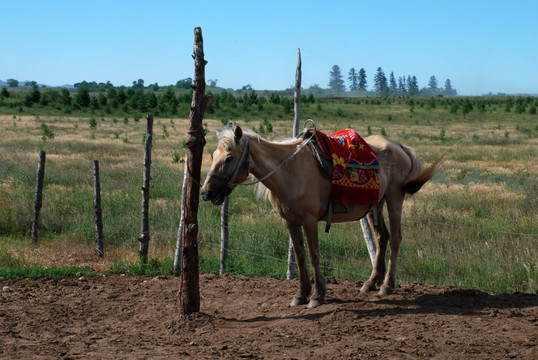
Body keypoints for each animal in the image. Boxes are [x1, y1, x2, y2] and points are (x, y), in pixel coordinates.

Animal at [199, 125, 442, 308]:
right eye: (213, 155)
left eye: (229, 158)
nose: (205, 192)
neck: (288, 171)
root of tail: (399, 146)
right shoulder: (289, 222)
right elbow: (299, 256)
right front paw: (301, 294)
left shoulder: (309, 220)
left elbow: (314, 255)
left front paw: (317, 295)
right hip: (375, 206)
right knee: (382, 238)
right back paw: (371, 282)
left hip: (394, 198)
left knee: (396, 239)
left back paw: (386, 286)